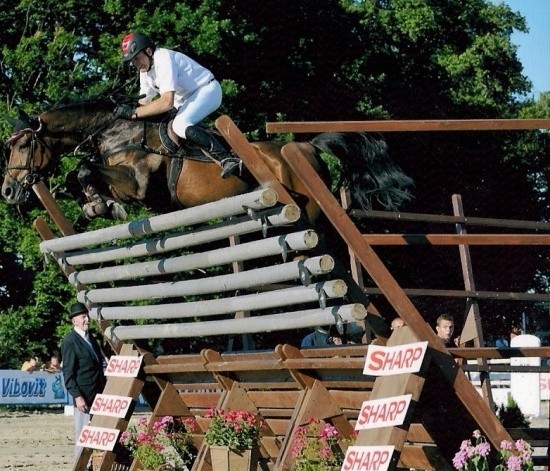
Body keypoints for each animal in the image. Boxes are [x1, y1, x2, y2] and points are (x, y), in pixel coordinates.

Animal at [1, 97, 414, 224]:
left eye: (23, 146)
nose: (7, 191)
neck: (115, 132)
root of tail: (306, 146)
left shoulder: (138, 185)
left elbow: (85, 167)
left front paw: (100, 203)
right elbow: (78, 176)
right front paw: (95, 204)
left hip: (312, 211)